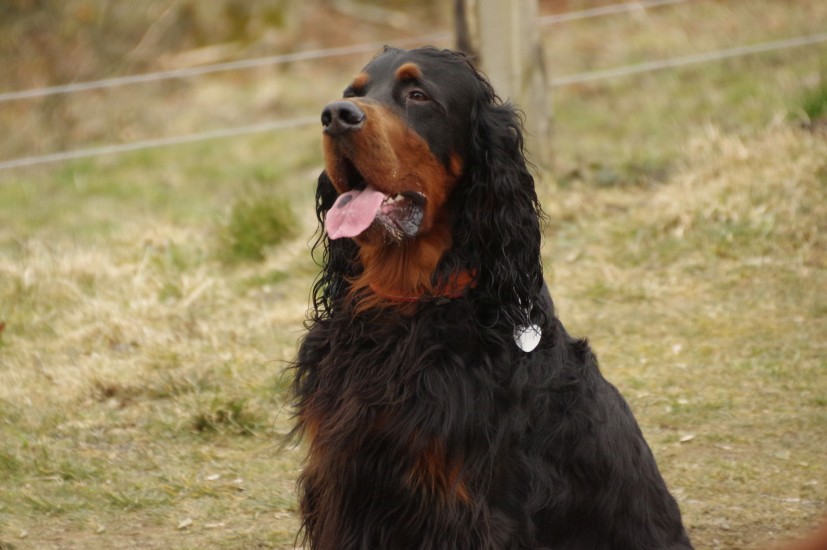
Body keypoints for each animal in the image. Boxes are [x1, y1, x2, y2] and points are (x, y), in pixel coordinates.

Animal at [291, 46, 693, 549]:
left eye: (418, 95)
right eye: (353, 92)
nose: (335, 116)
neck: (409, 300)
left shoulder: (469, 510)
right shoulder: (342, 480)